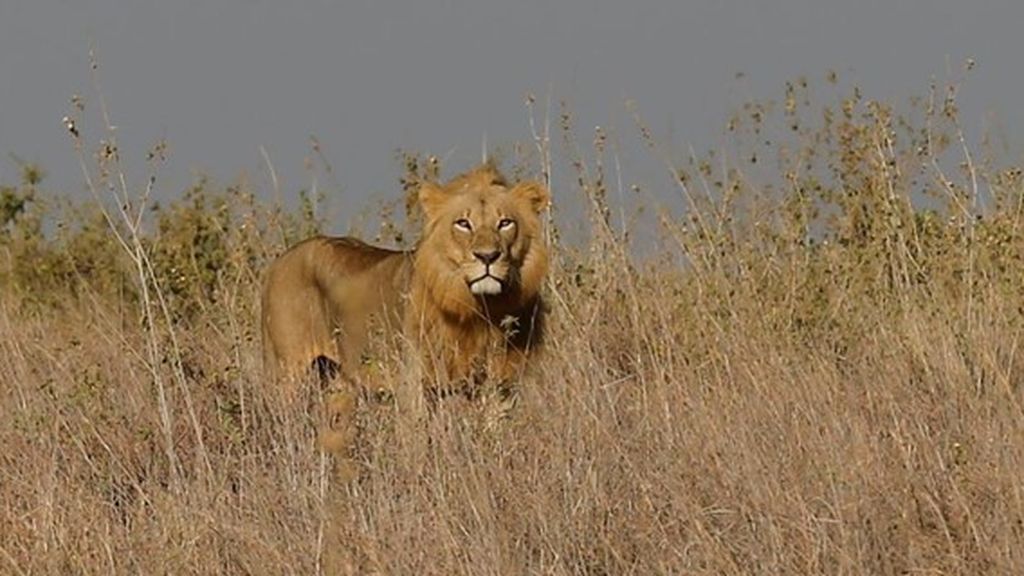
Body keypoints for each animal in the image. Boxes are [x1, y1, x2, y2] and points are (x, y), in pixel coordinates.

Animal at [264, 163, 552, 469]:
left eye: (505, 223)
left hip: (336, 383)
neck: (481, 308)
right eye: (463, 223)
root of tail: (279, 260)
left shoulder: (501, 386)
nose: (488, 256)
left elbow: (494, 434)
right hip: (288, 374)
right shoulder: (413, 385)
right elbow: (417, 444)